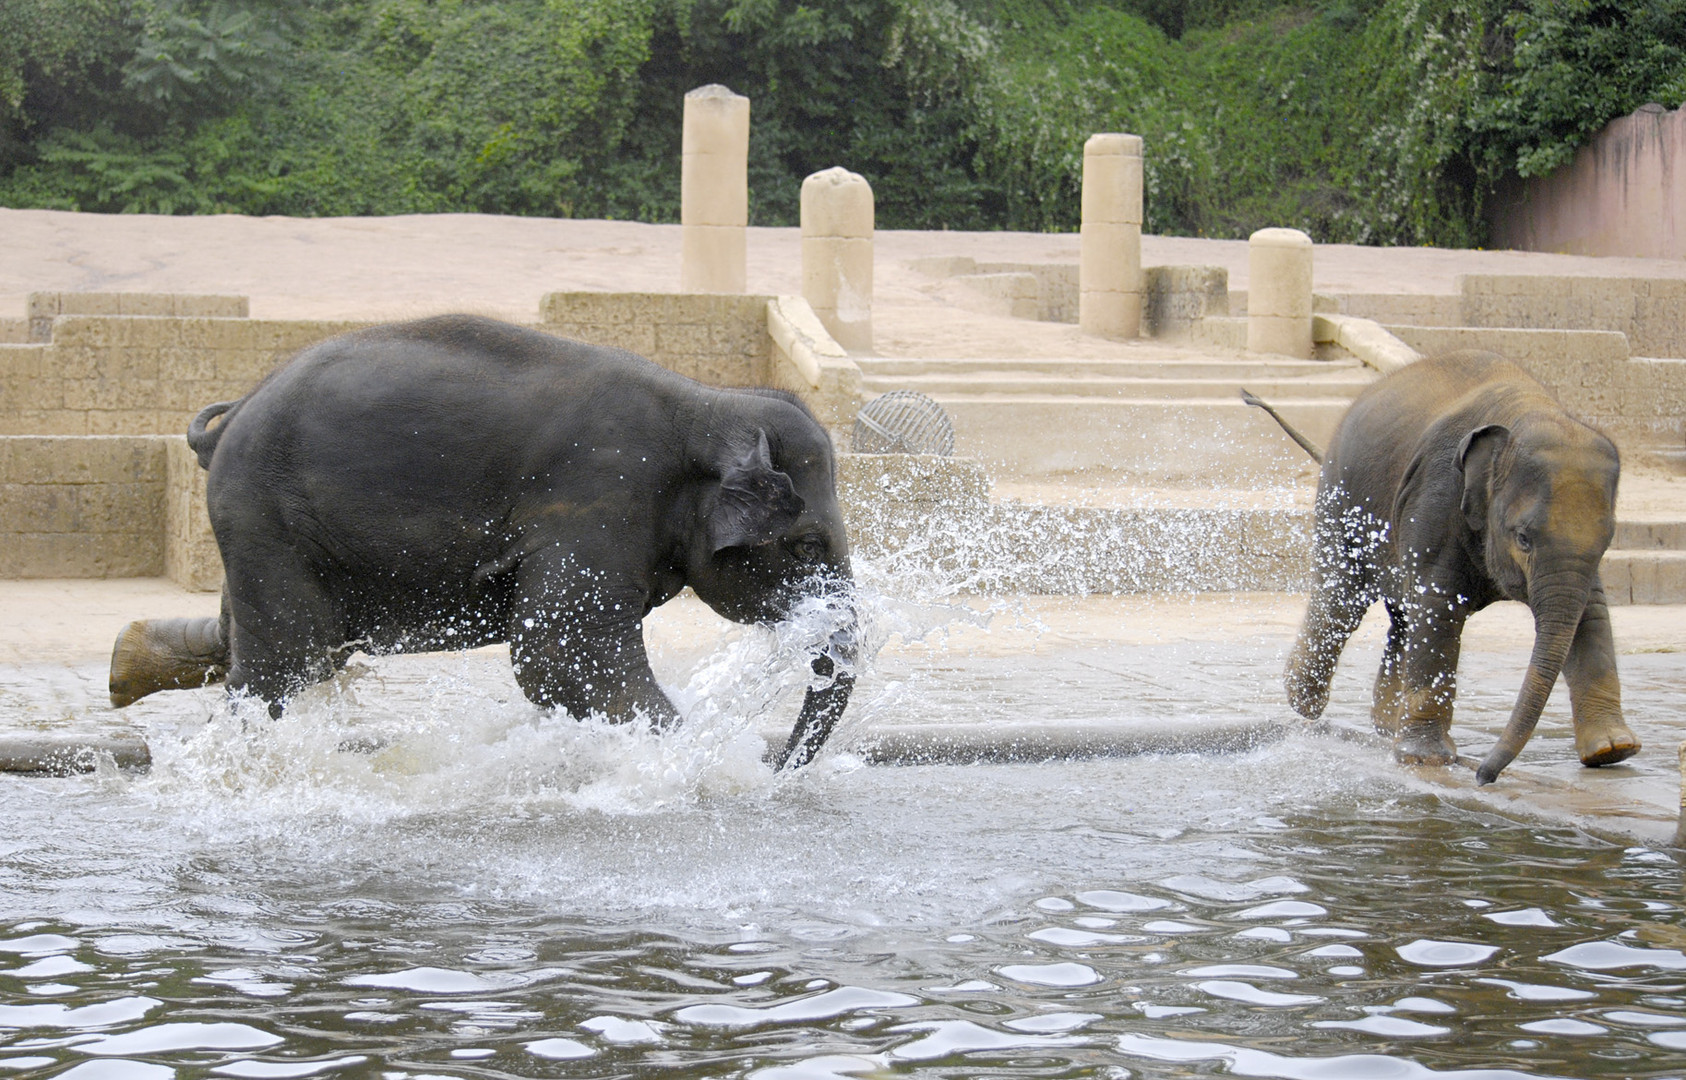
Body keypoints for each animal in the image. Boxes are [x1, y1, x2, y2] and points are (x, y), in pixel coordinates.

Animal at [112, 311, 856, 768]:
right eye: (806, 547)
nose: (777, 763)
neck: (706, 404)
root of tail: (231, 415)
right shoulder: (598, 498)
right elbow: (560, 653)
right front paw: (695, 767)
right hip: (267, 518)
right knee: (286, 662)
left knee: (275, 644)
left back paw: (127, 666)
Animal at [1247, 353, 1638, 781]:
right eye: (1523, 538)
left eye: (1608, 541)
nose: (1483, 776)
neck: (1526, 410)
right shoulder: (1437, 496)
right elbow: (1439, 607)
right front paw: (1427, 760)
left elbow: (1590, 612)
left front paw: (1612, 751)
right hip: (1341, 500)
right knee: (1342, 599)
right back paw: (1305, 703)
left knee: (1402, 616)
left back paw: (1386, 726)